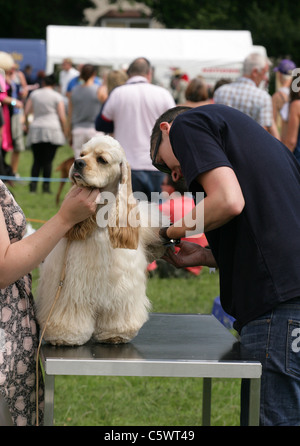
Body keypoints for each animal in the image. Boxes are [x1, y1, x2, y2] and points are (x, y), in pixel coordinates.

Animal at [35, 134, 169, 346]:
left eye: (102, 160)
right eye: (82, 154)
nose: (78, 162)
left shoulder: (122, 286)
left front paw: (116, 334)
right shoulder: (72, 284)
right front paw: (64, 336)